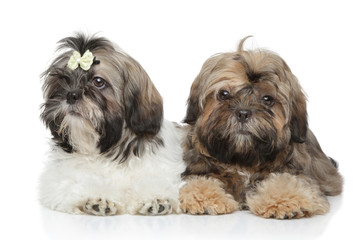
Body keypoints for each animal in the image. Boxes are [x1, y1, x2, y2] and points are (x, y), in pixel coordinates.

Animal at [39, 33, 186, 216]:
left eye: (98, 81)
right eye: (63, 80)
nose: (71, 95)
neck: (109, 148)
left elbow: (155, 181)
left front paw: (156, 199)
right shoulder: (58, 178)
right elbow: (76, 183)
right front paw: (98, 198)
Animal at [180, 37, 344, 219]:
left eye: (267, 99)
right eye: (223, 94)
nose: (243, 113)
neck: (243, 159)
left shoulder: (294, 173)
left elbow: (286, 182)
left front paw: (287, 201)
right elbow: (202, 181)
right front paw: (205, 198)